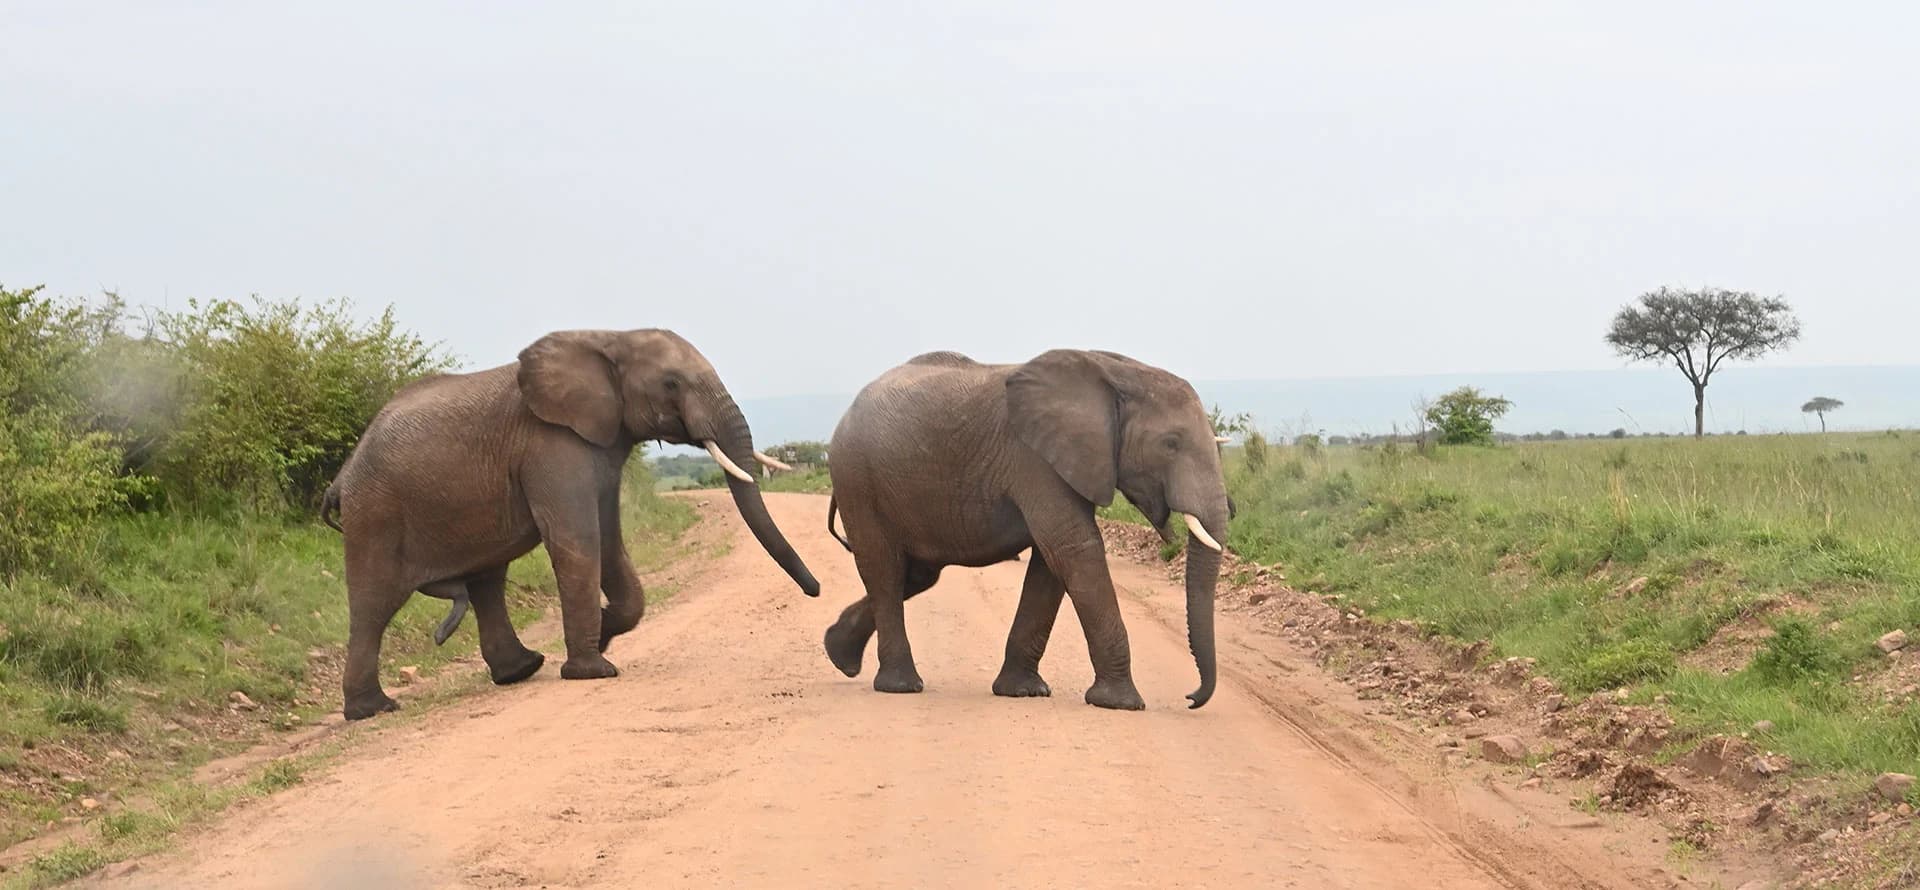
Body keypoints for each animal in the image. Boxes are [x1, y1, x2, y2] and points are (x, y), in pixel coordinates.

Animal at [321, 328, 819, 720]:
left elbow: (610, 539)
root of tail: (342, 476)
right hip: (376, 511)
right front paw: (594, 669)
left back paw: (521, 669)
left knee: (486, 581)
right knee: (375, 601)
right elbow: (579, 540)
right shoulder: (552, 445)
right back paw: (373, 709)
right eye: (671, 383)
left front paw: (604, 631)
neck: (610, 338)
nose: (816, 591)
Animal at [821, 349, 1230, 710]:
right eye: (1170, 444)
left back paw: (839, 655)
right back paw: (900, 686)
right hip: (858, 479)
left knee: (917, 574)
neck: (1117, 371)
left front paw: (1023, 692)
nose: (1191, 698)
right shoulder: (1035, 460)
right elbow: (1074, 549)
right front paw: (1122, 704)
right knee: (885, 571)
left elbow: (1050, 565)